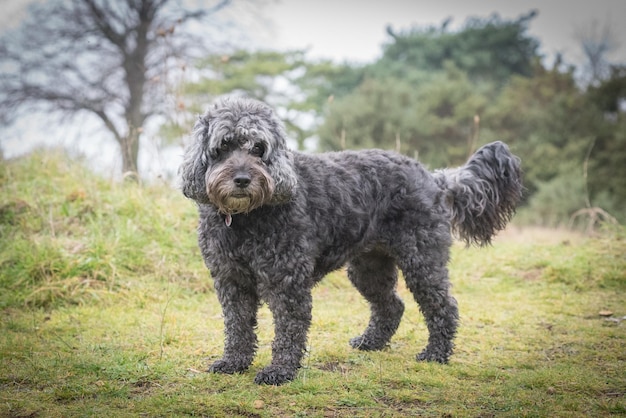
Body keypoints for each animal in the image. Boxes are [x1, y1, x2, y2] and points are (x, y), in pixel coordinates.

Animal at [180, 95, 520, 386]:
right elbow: (237, 326)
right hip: (369, 268)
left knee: (443, 306)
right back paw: (371, 342)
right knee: (391, 306)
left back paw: (436, 354)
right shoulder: (231, 281)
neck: (245, 217)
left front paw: (280, 371)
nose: (241, 179)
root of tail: (433, 178)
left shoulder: (286, 281)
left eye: (258, 148)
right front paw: (233, 363)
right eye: (223, 146)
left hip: (422, 260)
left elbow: (289, 327)